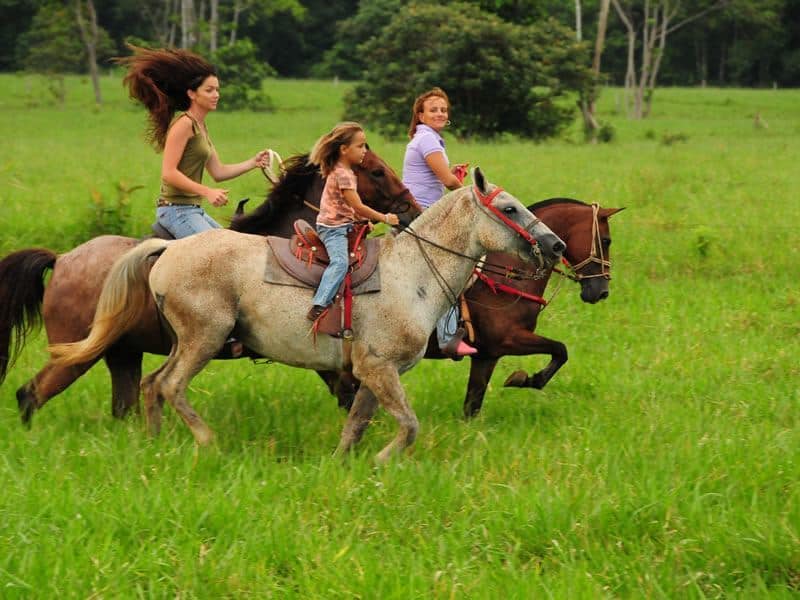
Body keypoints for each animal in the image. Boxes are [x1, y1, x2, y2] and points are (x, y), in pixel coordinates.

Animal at [0, 148, 422, 424]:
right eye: (376, 171)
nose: (411, 208)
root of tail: (61, 259)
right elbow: (347, 390)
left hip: (121, 354)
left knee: (123, 406)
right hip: (75, 354)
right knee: (30, 394)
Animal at [50, 169, 564, 464]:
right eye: (509, 207)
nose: (556, 245)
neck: (412, 275)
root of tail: (169, 249)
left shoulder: (372, 374)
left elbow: (357, 423)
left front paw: (344, 464)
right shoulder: (379, 368)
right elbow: (409, 425)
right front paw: (381, 461)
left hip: (184, 341)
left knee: (151, 384)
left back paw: (155, 442)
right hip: (204, 338)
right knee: (172, 385)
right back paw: (207, 441)